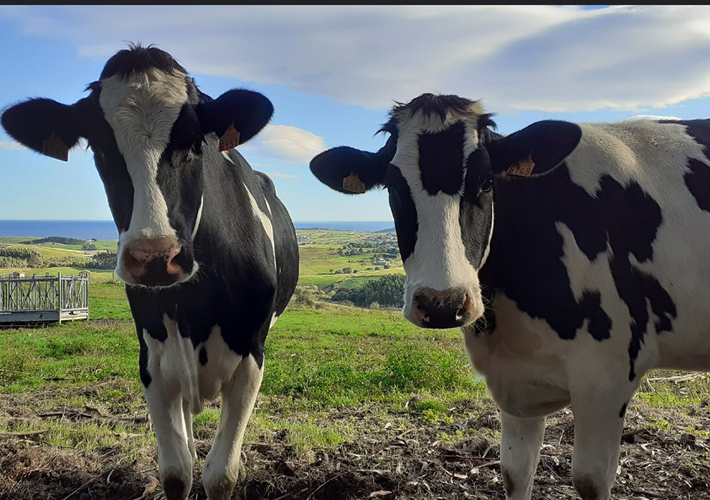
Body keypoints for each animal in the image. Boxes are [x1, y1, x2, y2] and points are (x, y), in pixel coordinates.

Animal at [1, 44, 298, 500]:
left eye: (195, 142)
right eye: (100, 147)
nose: (155, 256)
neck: (195, 306)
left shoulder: (251, 358)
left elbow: (220, 474)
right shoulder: (153, 361)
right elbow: (177, 471)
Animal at [312, 92, 710, 498]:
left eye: (487, 182)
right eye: (393, 187)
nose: (442, 304)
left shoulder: (607, 377)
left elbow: (589, 478)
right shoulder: (515, 380)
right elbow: (515, 471)